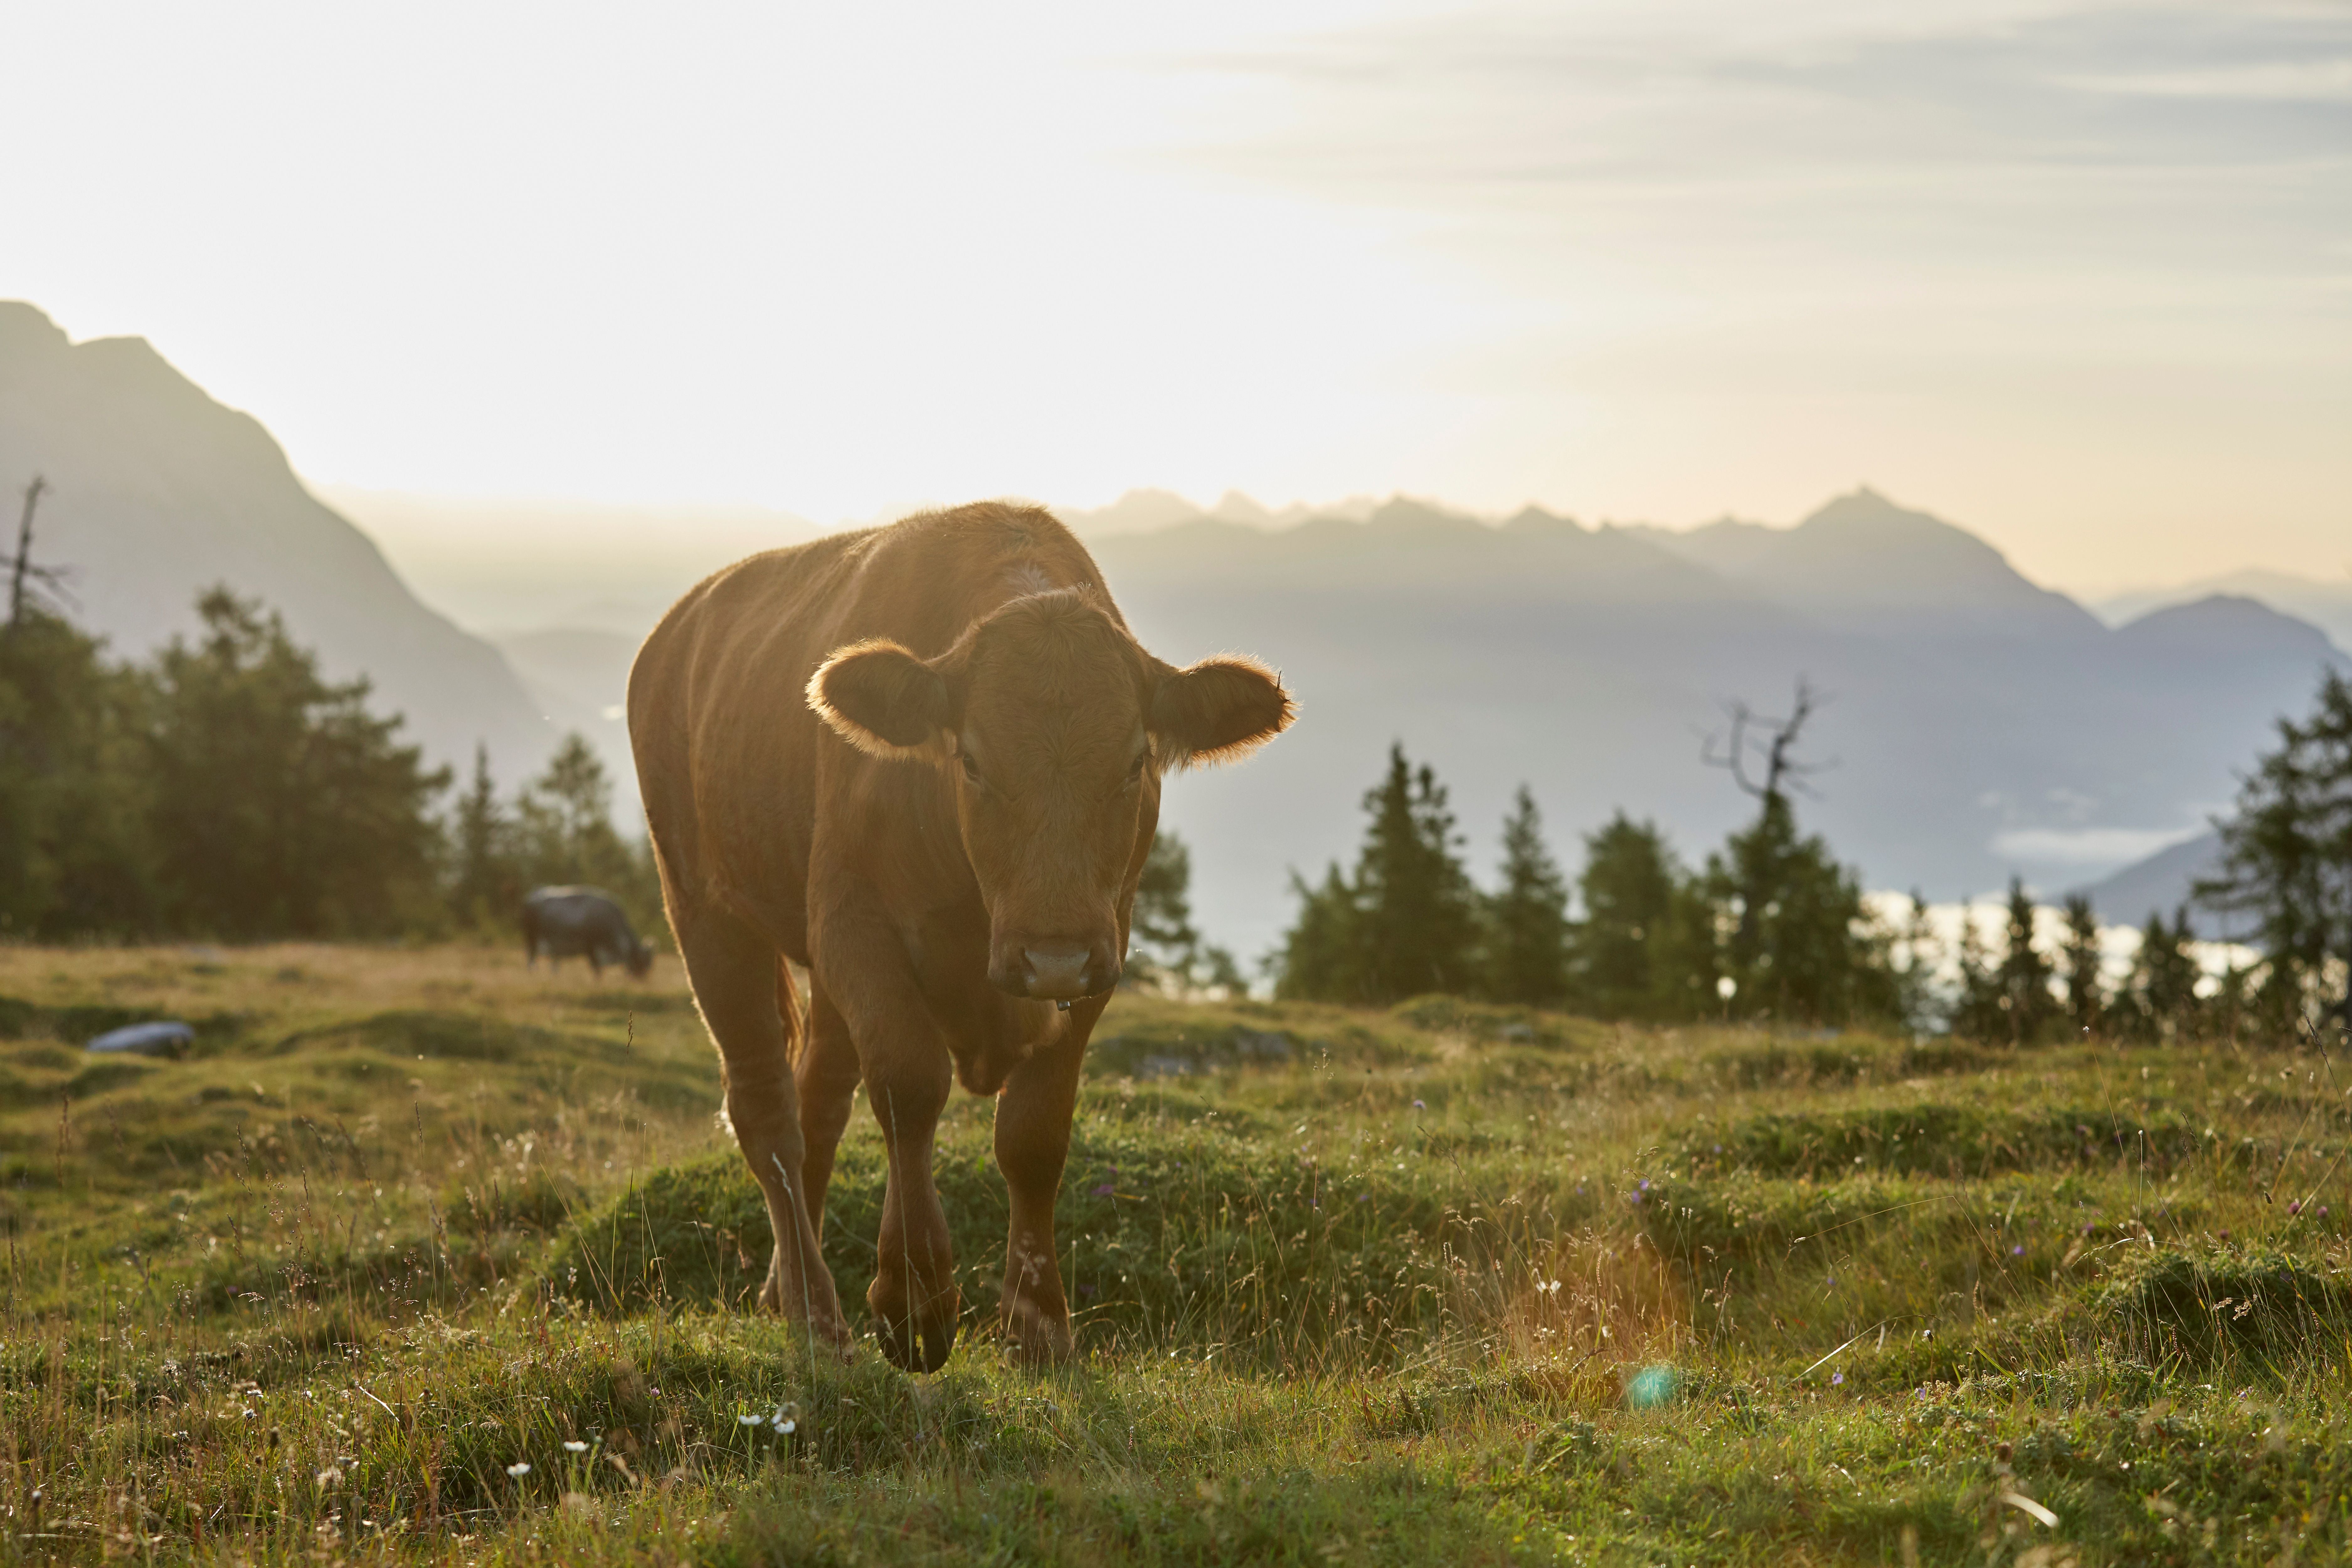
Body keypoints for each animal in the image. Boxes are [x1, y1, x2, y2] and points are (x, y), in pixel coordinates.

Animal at [522, 886, 655, 978]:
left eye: (649, 964)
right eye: (640, 961)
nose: (642, 980)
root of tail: (530, 898)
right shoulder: (591, 945)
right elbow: (596, 968)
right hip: (532, 938)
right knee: (531, 959)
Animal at [628, 502, 1291, 1370]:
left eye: (1135, 761)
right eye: (970, 760)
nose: (1049, 953)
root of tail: (677, 627)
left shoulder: (1102, 941)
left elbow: (1035, 1132)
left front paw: (1038, 1323)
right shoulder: (852, 919)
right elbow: (910, 1085)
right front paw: (914, 1301)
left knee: (818, 1098)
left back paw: (781, 1291)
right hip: (704, 909)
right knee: (765, 1108)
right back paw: (816, 1315)